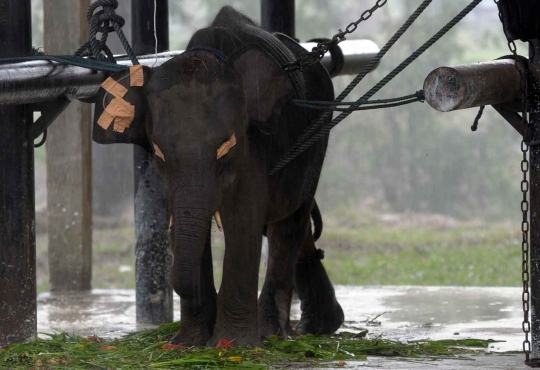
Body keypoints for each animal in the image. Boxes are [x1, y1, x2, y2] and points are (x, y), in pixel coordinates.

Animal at [92, 5, 342, 346]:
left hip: (317, 136)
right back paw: (317, 325)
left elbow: (242, 219)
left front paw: (232, 344)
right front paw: (188, 343)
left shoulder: (254, 144)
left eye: (226, 149)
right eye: (157, 152)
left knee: (291, 220)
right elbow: (180, 220)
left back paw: (273, 332)